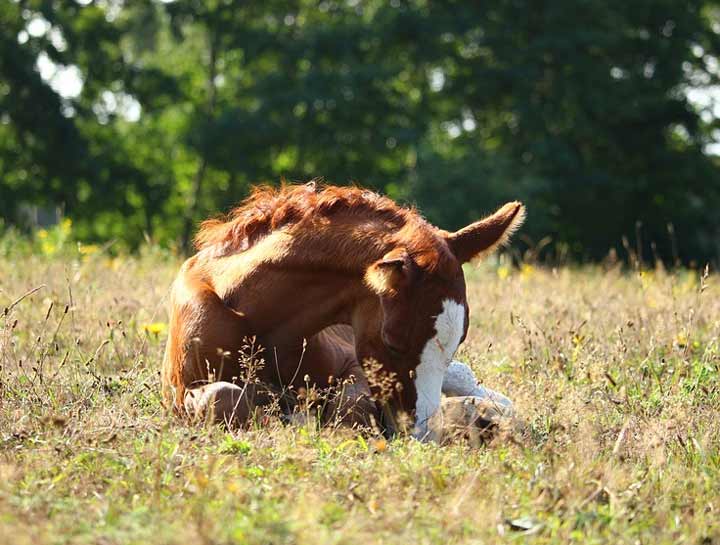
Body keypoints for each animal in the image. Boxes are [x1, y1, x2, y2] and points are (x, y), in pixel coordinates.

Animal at [163, 183, 524, 438]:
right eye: (392, 343)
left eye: (459, 340)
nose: (421, 434)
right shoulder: (180, 391)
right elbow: (223, 398)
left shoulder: (353, 365)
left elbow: (350, 405)